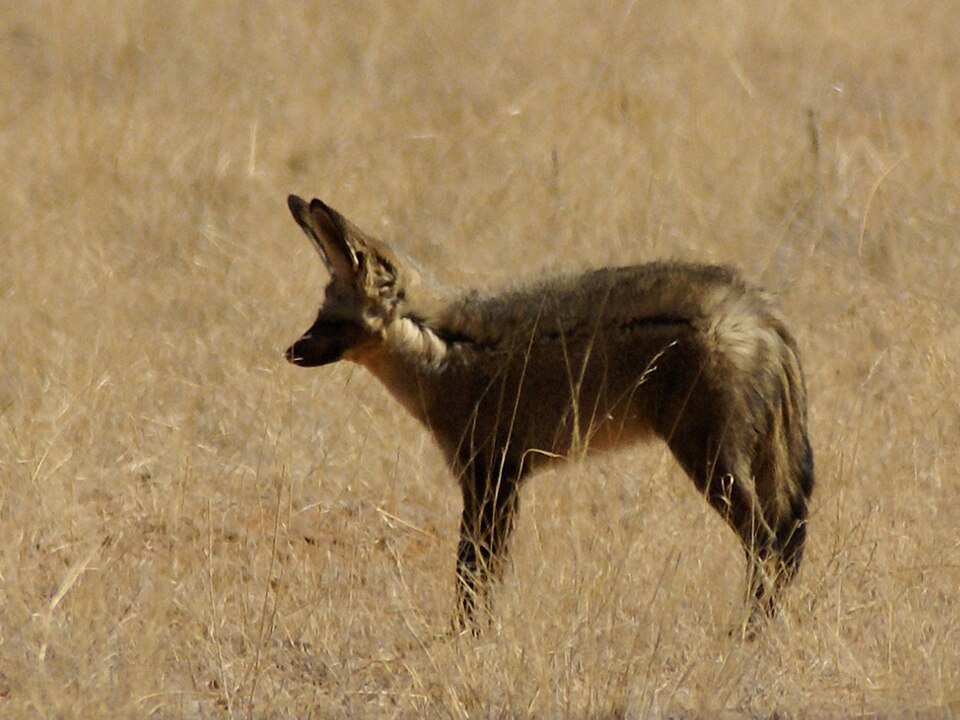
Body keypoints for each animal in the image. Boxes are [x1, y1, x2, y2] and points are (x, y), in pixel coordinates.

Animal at [282, 194, 814, 634]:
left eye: (330, 320)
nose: (289, 351)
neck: (444, 349)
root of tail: (760, 309)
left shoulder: (491, 478)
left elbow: (473, 574)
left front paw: (468, 638)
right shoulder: (497, 481)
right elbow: (480, 573)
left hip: (710, 463)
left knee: (767, 544)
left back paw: (749, 632)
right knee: (785, 541)